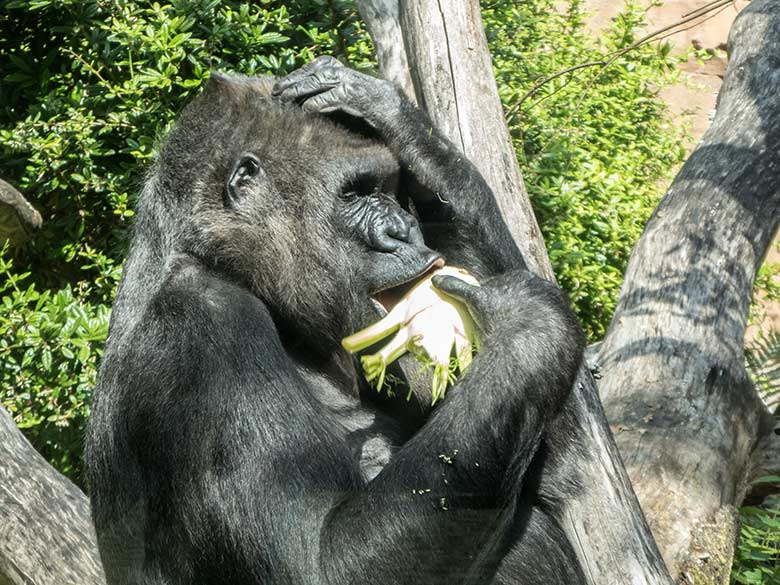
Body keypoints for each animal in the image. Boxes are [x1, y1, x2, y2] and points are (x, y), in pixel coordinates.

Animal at [87, 56, 584, 584]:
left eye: (390, 189)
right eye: (355, 193)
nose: (404, 230)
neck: (217, 258)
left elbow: (554, 469)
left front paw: (388, 112)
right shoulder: (205, 326)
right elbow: (314, 560)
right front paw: (531, 323)